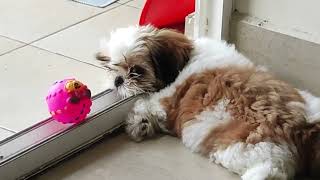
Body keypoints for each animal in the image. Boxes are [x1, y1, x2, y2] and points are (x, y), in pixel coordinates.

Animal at [97, 25, 320, 180]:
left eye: (136, 71)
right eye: (111, 68)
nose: (118, 80)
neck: (187, 59)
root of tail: (299, 126)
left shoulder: (166, 100)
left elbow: (145, 104)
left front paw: (138, 123)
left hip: (257, 151)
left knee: (269, 171)